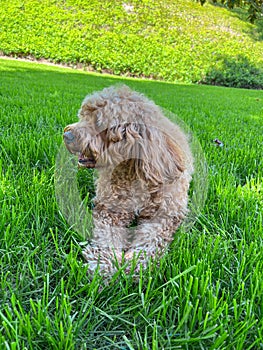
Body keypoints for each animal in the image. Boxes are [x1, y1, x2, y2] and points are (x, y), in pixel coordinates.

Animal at [63, 85, 193, 276]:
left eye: (99, 123)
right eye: (83, 116)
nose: (67, 135)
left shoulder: (164, 216)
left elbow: (151, 240)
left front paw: (136, 264)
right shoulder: (111, 210)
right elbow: (107, 235)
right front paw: (106, 263)